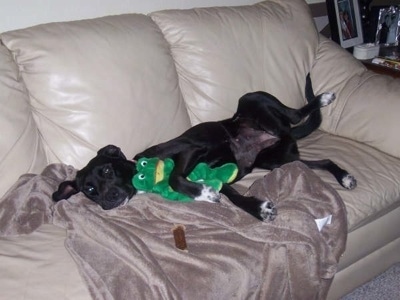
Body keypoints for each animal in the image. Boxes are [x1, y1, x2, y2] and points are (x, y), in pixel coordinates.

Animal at [52, 75, 356, 220]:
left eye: (106, 171)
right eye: (89, 190)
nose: (109, 198)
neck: (141, 166)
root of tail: (283, 134)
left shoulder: (190, 150)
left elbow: (175, 177)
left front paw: (202, 192)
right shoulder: (223, 175)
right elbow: (233, 195)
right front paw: (257, 208)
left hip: (253, 100)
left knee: (297, 112)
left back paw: (323, 98)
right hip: (277, 161)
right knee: (323, 161)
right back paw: (344, 177)